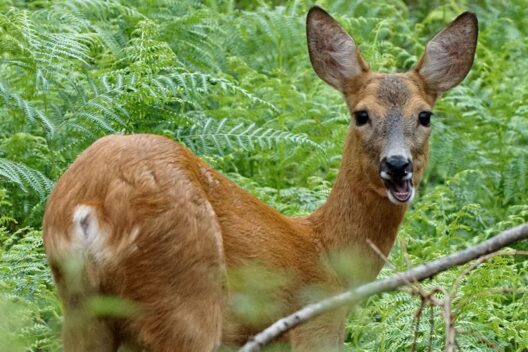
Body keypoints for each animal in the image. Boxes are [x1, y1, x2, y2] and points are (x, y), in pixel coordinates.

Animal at [42, 5, 478, 352]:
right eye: (362, 114)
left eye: (424, 115)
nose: (397, 165)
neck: (324, 250)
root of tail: (91, 207)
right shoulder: (316, 322)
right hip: (185, 294)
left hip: (81, 308)